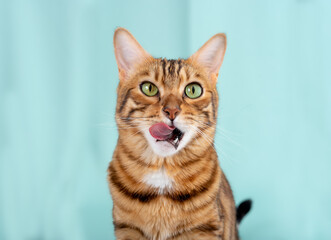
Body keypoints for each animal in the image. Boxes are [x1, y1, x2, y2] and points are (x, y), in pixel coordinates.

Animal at [109, 28, 252, 240]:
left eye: (193, 90)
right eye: (149, 88)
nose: (171, 111)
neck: (162, 173)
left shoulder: (205, 229)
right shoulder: (127, 229)